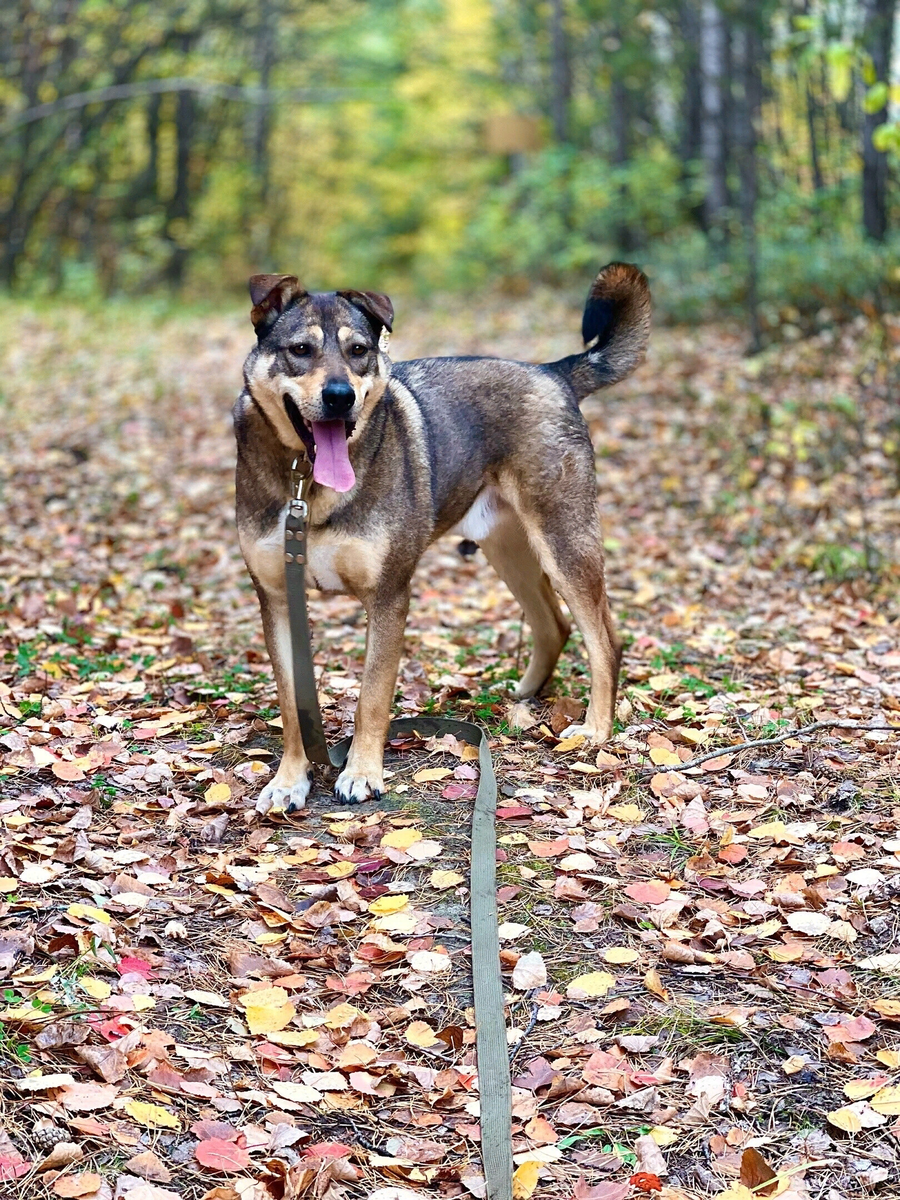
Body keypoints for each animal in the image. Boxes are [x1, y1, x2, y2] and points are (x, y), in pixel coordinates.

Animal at [236, 260, 652, 806]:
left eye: (359, 351)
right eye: (300, 350)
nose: (339, 397)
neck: (307, 481)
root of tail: (552, 372)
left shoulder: (389, 596)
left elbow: (372, 696)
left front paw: (362, 772)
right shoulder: (278, 598)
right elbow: (291, 705)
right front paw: (289, 780)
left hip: (564, 542)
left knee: (604, 639)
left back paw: (597, 729)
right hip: (509, 551)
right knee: (554, 625)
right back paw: (523, 696)